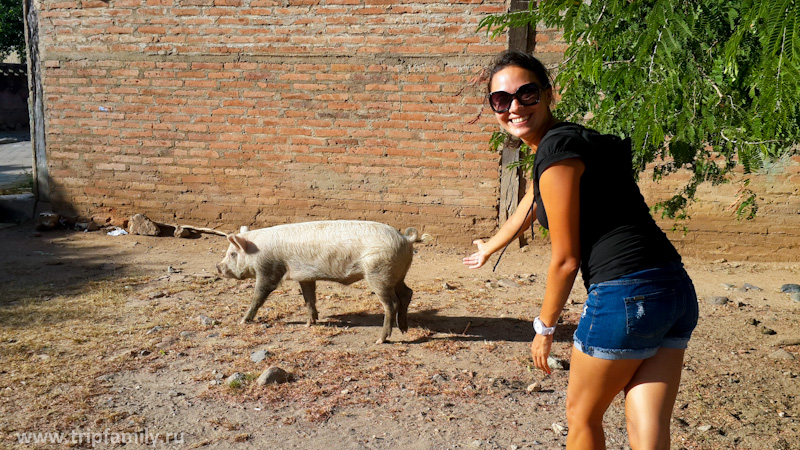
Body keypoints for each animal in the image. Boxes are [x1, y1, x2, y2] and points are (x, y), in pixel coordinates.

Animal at [214, 220, 432, 342]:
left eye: (232, 254)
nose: (217, 267)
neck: (256, 251)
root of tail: (406, 239)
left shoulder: (269, 270)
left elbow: (259, 296)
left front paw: (243, 320)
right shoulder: (305, 276)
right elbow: (309, 298)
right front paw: (309, 324)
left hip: (379, 273)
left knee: (392, 303)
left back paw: (381, 340)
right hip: (398, 274)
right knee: (407, 293)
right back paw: (403, 329)